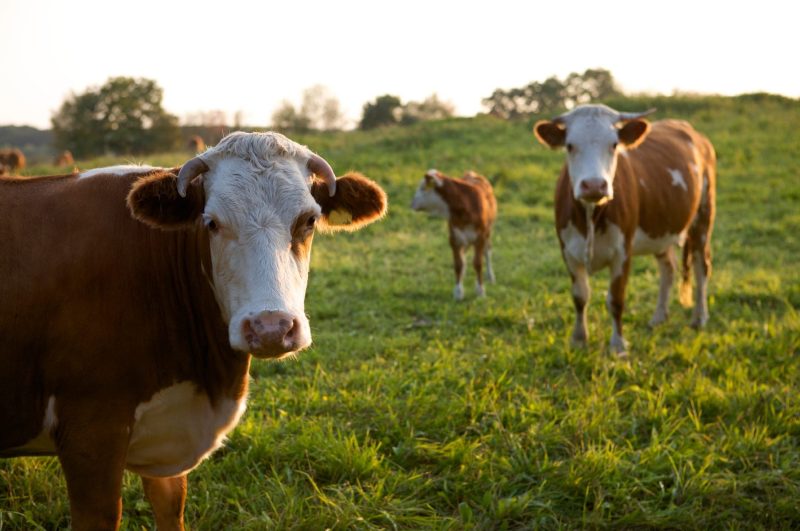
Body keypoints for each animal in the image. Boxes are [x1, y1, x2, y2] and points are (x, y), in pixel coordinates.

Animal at [411, 169, 497, 300]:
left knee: (487, 252)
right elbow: (458, 264)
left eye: (423, 188)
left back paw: (490, 276)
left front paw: (480, 291)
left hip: (488, 232)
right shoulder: (454, 238)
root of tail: (472, 173)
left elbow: (478, 263)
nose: (412, 203)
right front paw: (458, 292)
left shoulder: (480, 238)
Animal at [533, 104, 716, 355]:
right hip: (661, 227)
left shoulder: (623, 252)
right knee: (668, 267)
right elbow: (580, 296)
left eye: (614, 145)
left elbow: (616, 300)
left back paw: (699, 317)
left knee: (701, 266)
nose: (594, 185)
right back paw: (659, 317)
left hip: (703, 216)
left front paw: (618, 345)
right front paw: (579, 339)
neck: (591, 216)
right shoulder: (568, 251)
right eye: (570, 145)